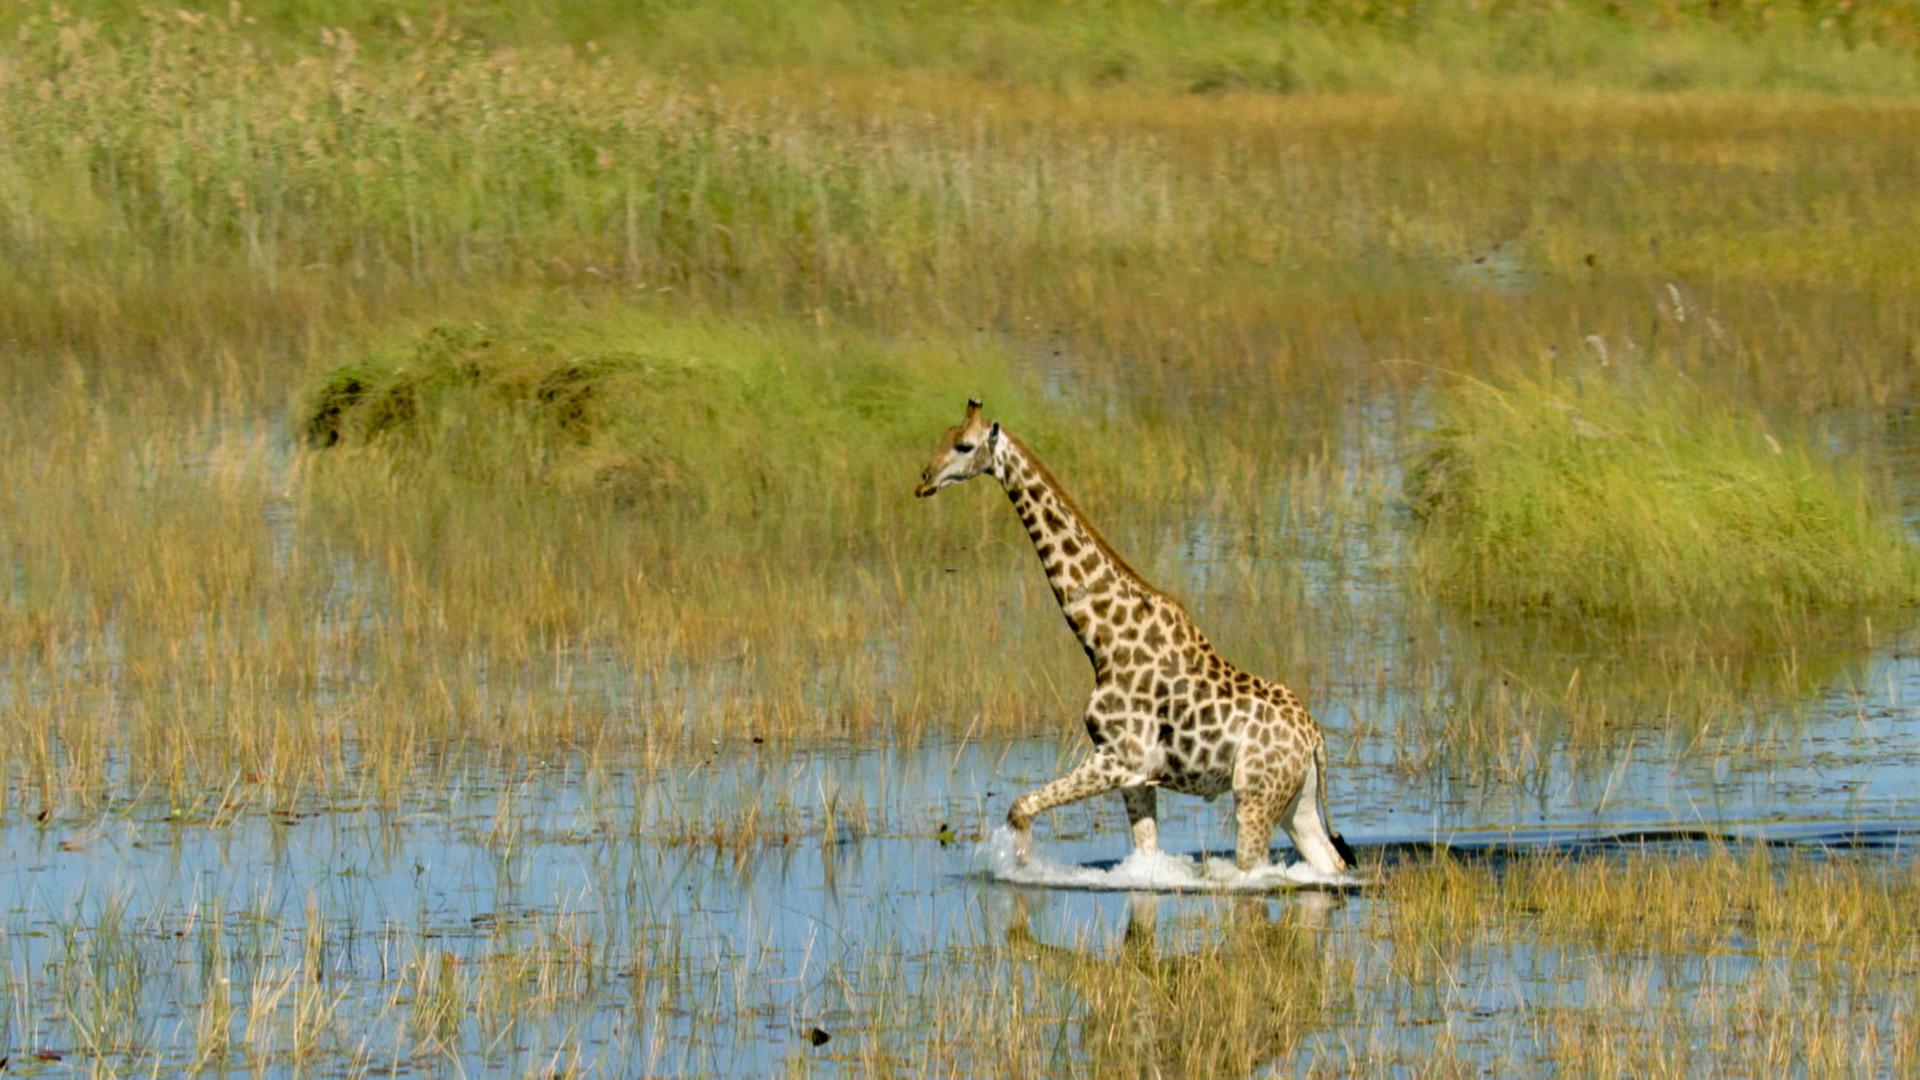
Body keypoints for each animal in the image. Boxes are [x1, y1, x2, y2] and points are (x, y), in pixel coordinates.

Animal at [916, 398, 1354, 877]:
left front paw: (1022, 868)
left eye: (964, 445)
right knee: (1331, 862)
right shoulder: (1136, 778)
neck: (1102, 641)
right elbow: (1144, 858)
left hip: (1255, 796)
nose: (924, 480)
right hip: (1296, 801)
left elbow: (1020, 806)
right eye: (944, 436)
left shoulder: (1118, 759)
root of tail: (1314, 736)